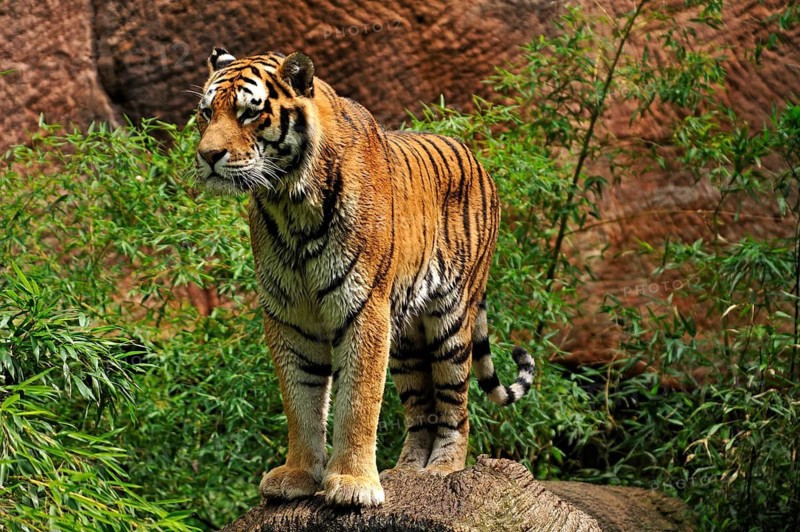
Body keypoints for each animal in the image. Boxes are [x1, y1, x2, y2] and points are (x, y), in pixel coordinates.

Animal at [194, 47, 535, 507]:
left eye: (249, 113)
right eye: (206, 113)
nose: (208, 156)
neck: (288, 202)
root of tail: (477, 158)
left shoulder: (363, 308)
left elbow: (358, 400)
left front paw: (353, 484)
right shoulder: (290, 317)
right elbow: (300, 402)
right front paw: (298, 475)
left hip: (450, 321)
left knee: (455, 406)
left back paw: (442, 470)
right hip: (407, 338)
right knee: (421, 409)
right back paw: (406, 471)